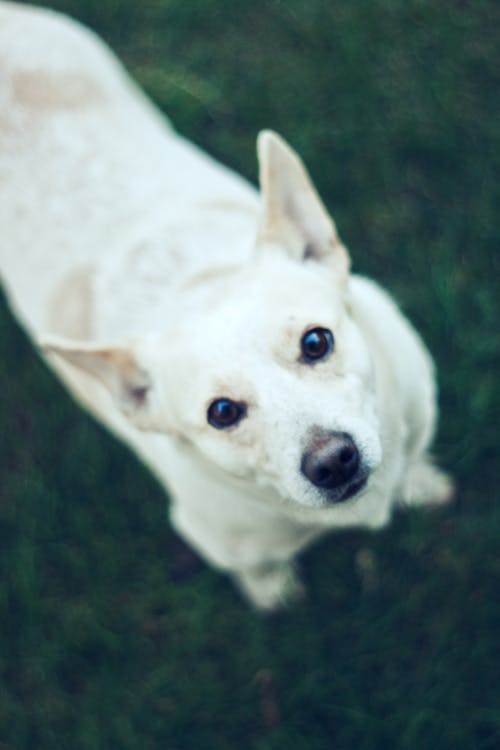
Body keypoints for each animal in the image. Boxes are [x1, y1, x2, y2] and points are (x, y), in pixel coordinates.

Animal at [0, 2, 454, 612]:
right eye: (222, 413)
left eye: (317, 342)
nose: (333, 460)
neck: (194, 282)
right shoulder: (225, 539)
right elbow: (261, 571)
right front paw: (273, 594)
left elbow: (411, 462)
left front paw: (419, 482)